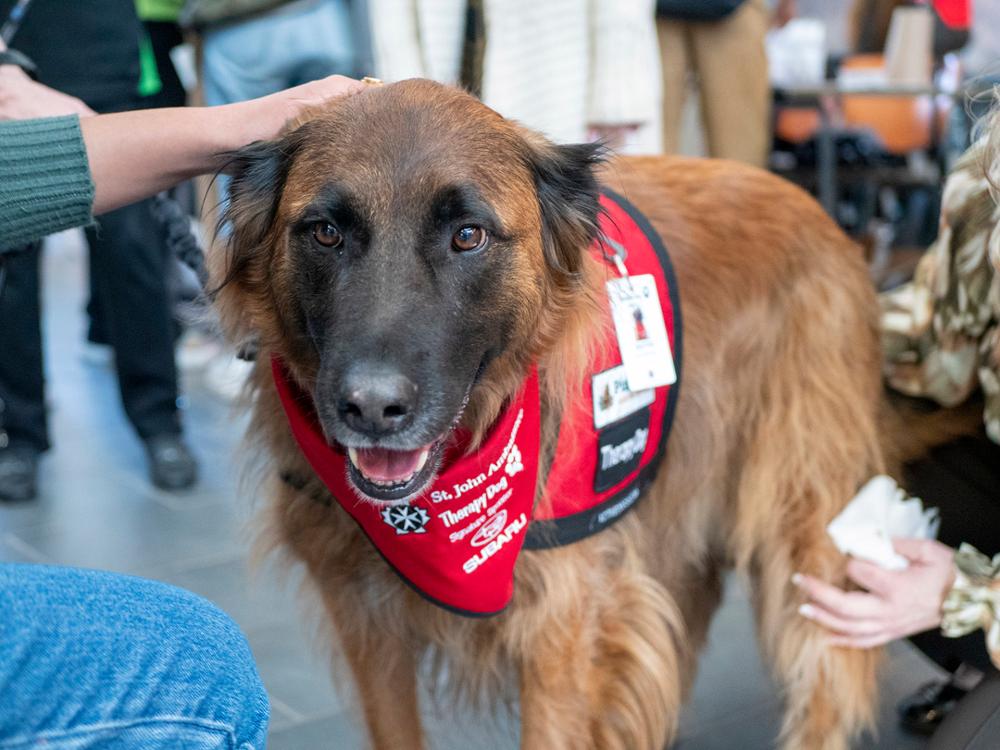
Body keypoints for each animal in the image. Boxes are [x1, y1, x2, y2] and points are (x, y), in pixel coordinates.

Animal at [217, 79, 884, 748]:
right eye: (326, 232)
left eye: (468, 235)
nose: (372, 408)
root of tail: (816, 209)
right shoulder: (365, 617)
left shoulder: (560, 626)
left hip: (797, 524)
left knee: (824, 679)